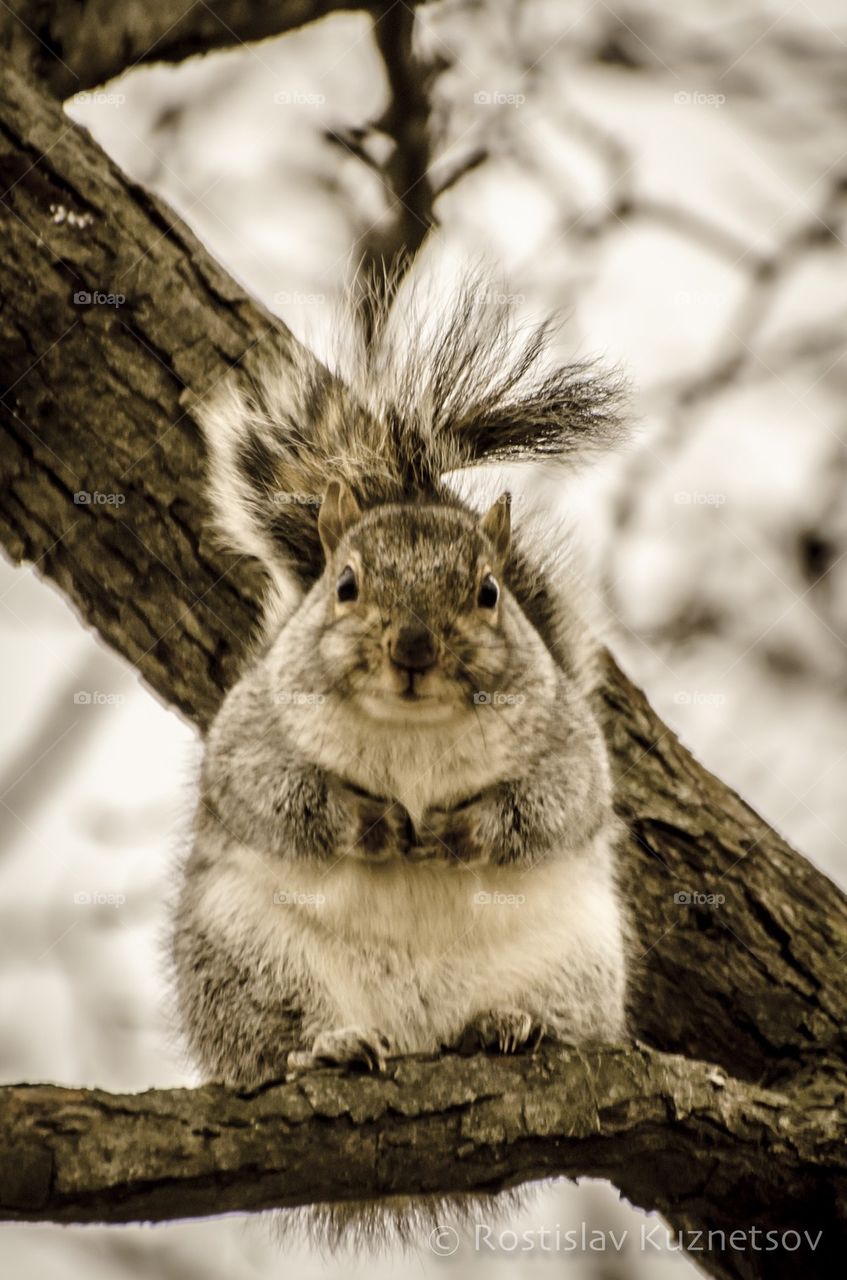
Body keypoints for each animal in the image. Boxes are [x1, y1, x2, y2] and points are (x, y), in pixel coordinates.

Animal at [170, 276, 630, 1248]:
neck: (413, 735)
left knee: (557, 1019)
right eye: (344, 585)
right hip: (244, 961)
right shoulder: (252, 737)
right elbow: (277, 796)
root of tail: (418, 1036)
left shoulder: (566, 747)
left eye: (489, 592)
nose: (414, 647)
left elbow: (552, 804)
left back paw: (508, 1027)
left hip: (575, 965)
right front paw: (374, 824)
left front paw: (461, 831)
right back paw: (332, 1046)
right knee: (274, 1039)